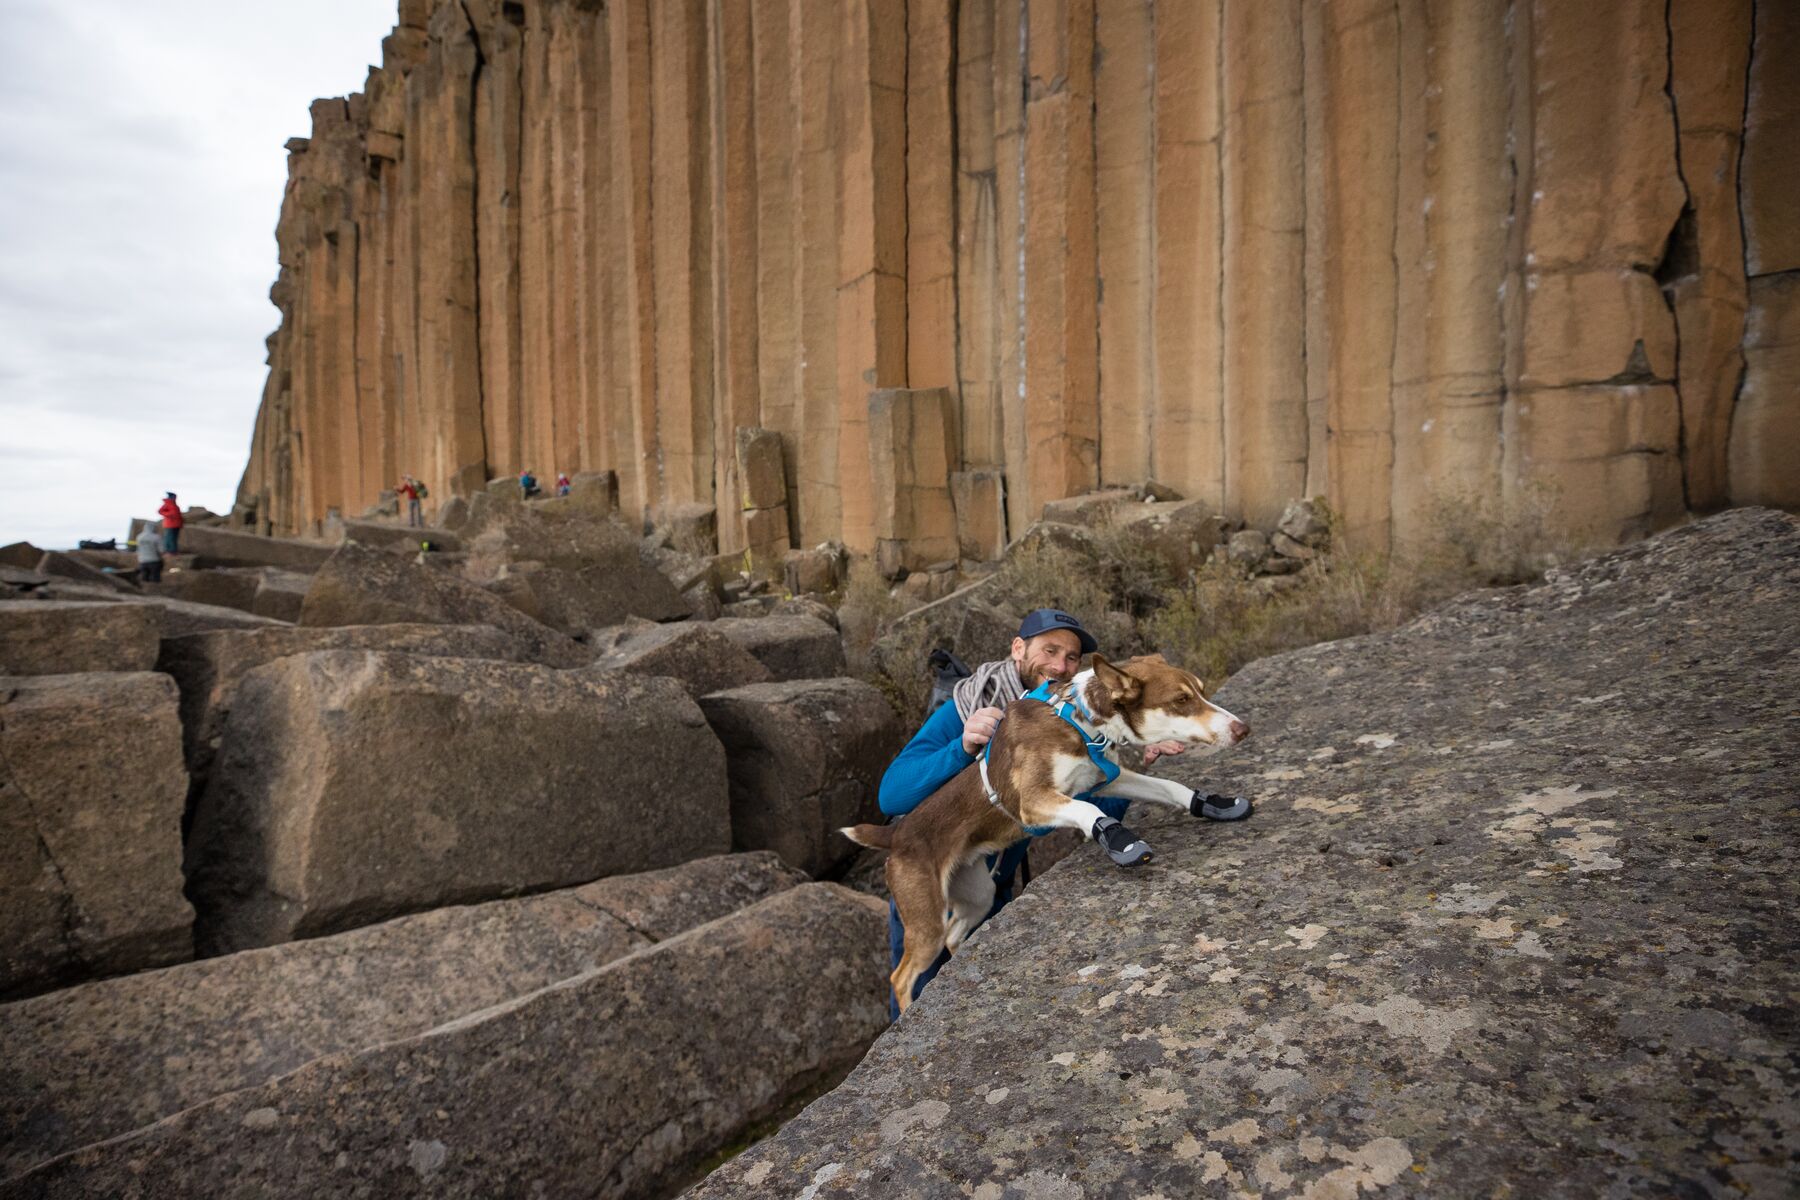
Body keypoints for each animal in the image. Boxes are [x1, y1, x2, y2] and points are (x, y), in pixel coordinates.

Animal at [838, 658, 1238, 1014]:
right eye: (1181, 700)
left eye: (1201, 690)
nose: (1242, 729)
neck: (1079, 719)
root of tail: (896, 835)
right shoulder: (1033, 801)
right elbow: (1090, 812)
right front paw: (1120, 840)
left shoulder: (1108, 778)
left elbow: (1168, 786)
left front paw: (1210, 803)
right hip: (925, 919)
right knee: (901, 976)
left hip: (978, 894)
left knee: (953, 934)